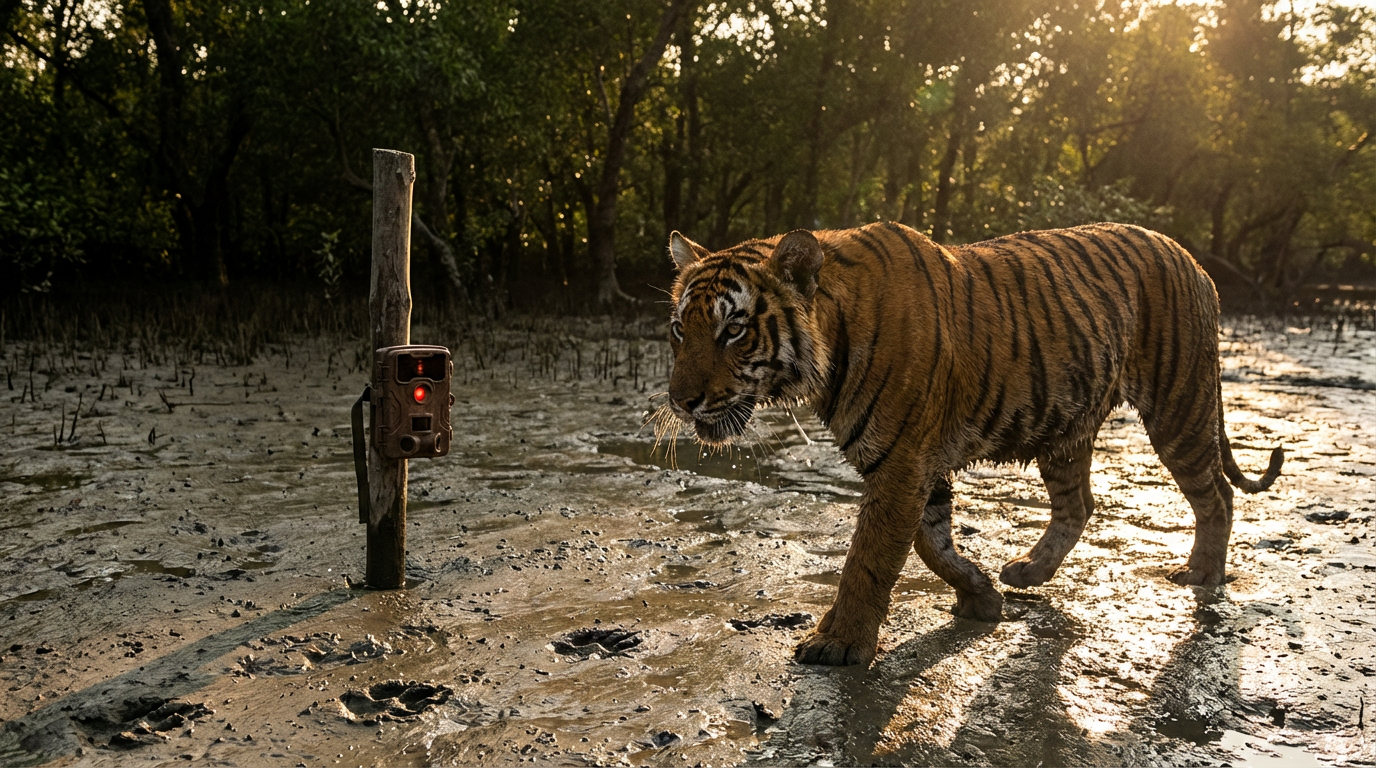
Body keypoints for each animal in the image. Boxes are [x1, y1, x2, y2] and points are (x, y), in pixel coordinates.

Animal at [662, 221, 1283, 666]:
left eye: (733, 330)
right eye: (679, 329)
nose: (680, 401)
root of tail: (1192, 258)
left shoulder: (903, 463)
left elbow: (870, 557)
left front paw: (838, 642)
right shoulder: (915, 465)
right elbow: (928, 543)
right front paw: (981, 596)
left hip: (1179, 407)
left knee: (1217, 494)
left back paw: (1203, 573)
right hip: (1066, 429)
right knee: (1079, 504)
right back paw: (1029, 572)